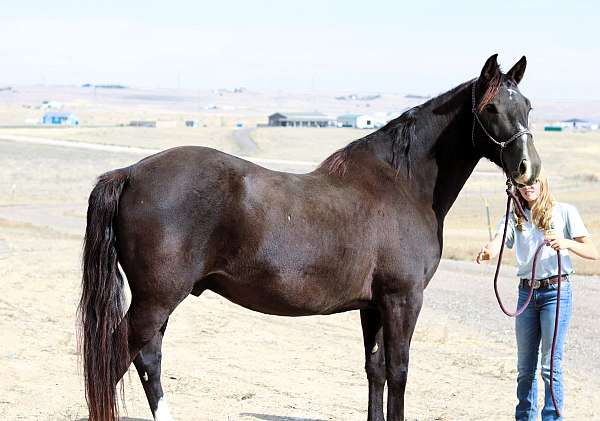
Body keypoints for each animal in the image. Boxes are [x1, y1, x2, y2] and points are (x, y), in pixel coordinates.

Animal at [78, 54, 540, 418]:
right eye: (491, 108)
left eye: (528, 106)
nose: (527, 168)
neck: (402, 184)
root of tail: (130, 173)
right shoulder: (402, 299)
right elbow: (398, 371)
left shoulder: (373, 305)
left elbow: (375, 371)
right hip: (156, 298)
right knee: (119, 357)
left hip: (158, 301)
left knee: (148, 360)